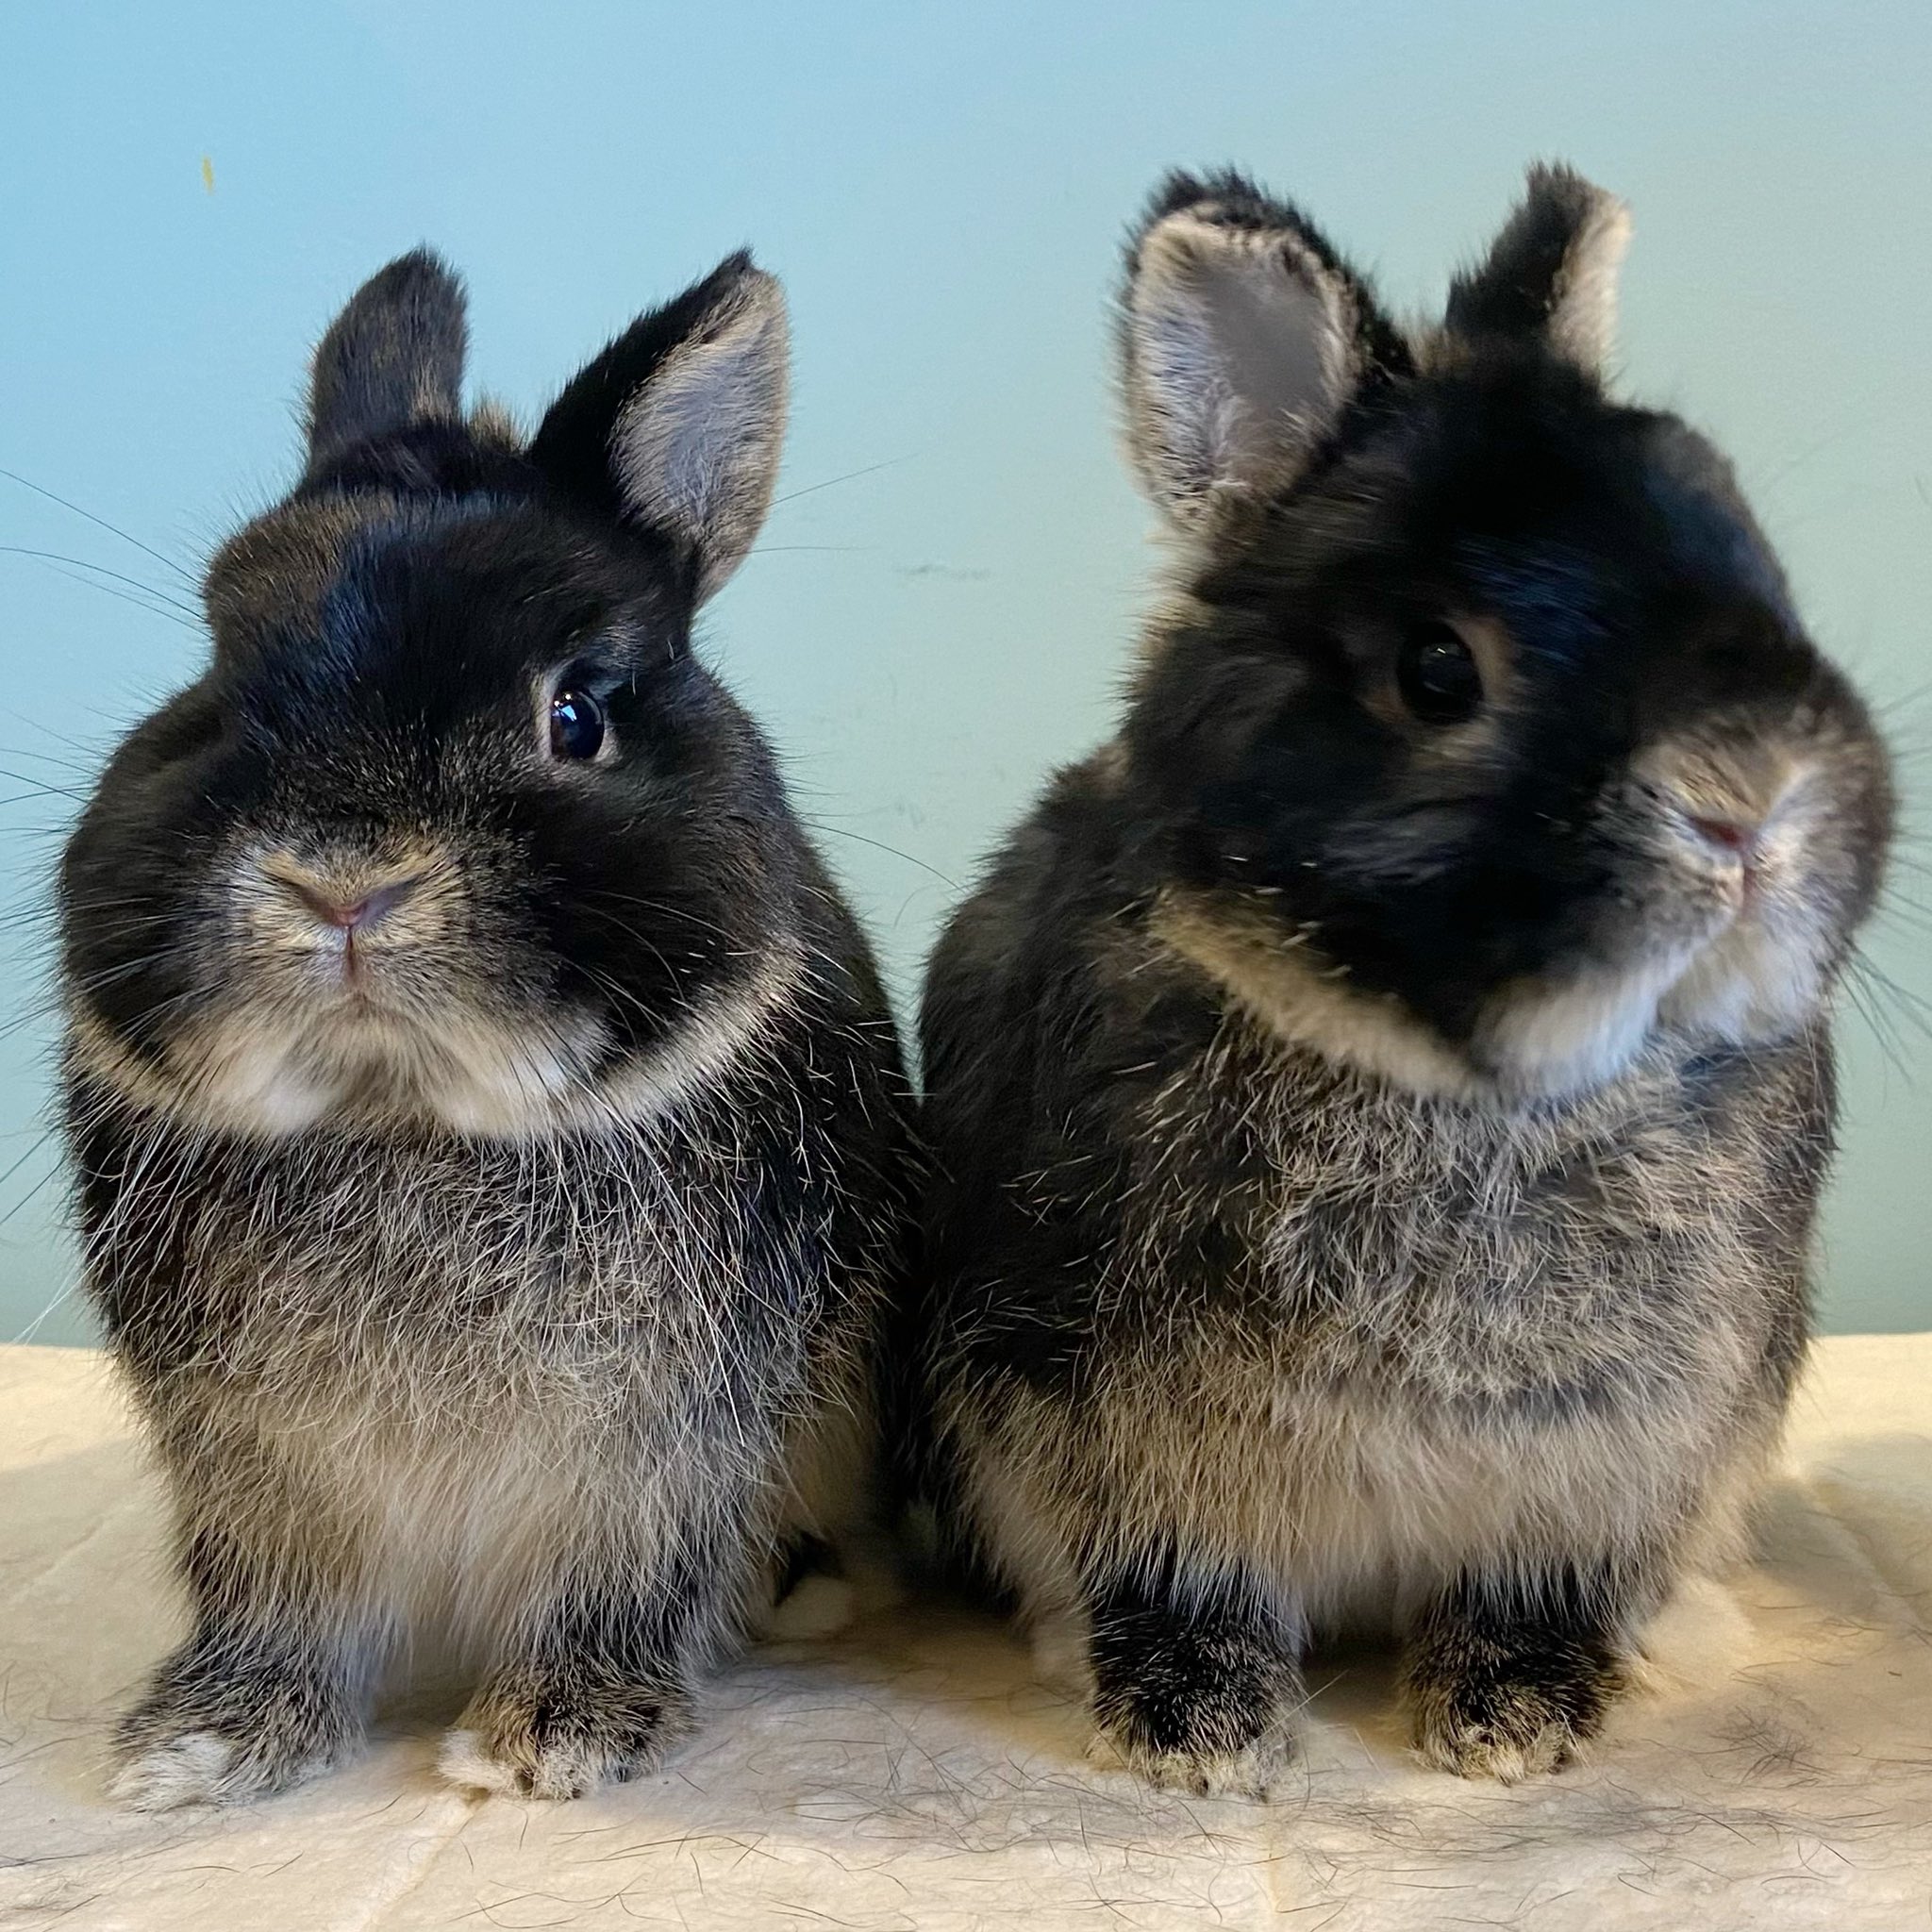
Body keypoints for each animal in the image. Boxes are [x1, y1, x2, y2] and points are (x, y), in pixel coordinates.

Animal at [60, 246, 917, 1808]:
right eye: (215, 668)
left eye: (576, 714)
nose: (341, 881)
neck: (401, 1109)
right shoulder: (258, 1471)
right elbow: (275, 1598)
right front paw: (202, 1750)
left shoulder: (656, 1456)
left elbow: (623, 1580)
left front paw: (553, 1737)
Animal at [908, 165, 1894, 1796]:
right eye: (1438, 670)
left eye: (1761, 567)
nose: (1752, 800)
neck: (1482, 1092)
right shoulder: (1095, 1431)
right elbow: (1172, 1581)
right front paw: (1202, 1736)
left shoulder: (1622, 1463)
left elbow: (1540, 1588)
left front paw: (1513, 1721)